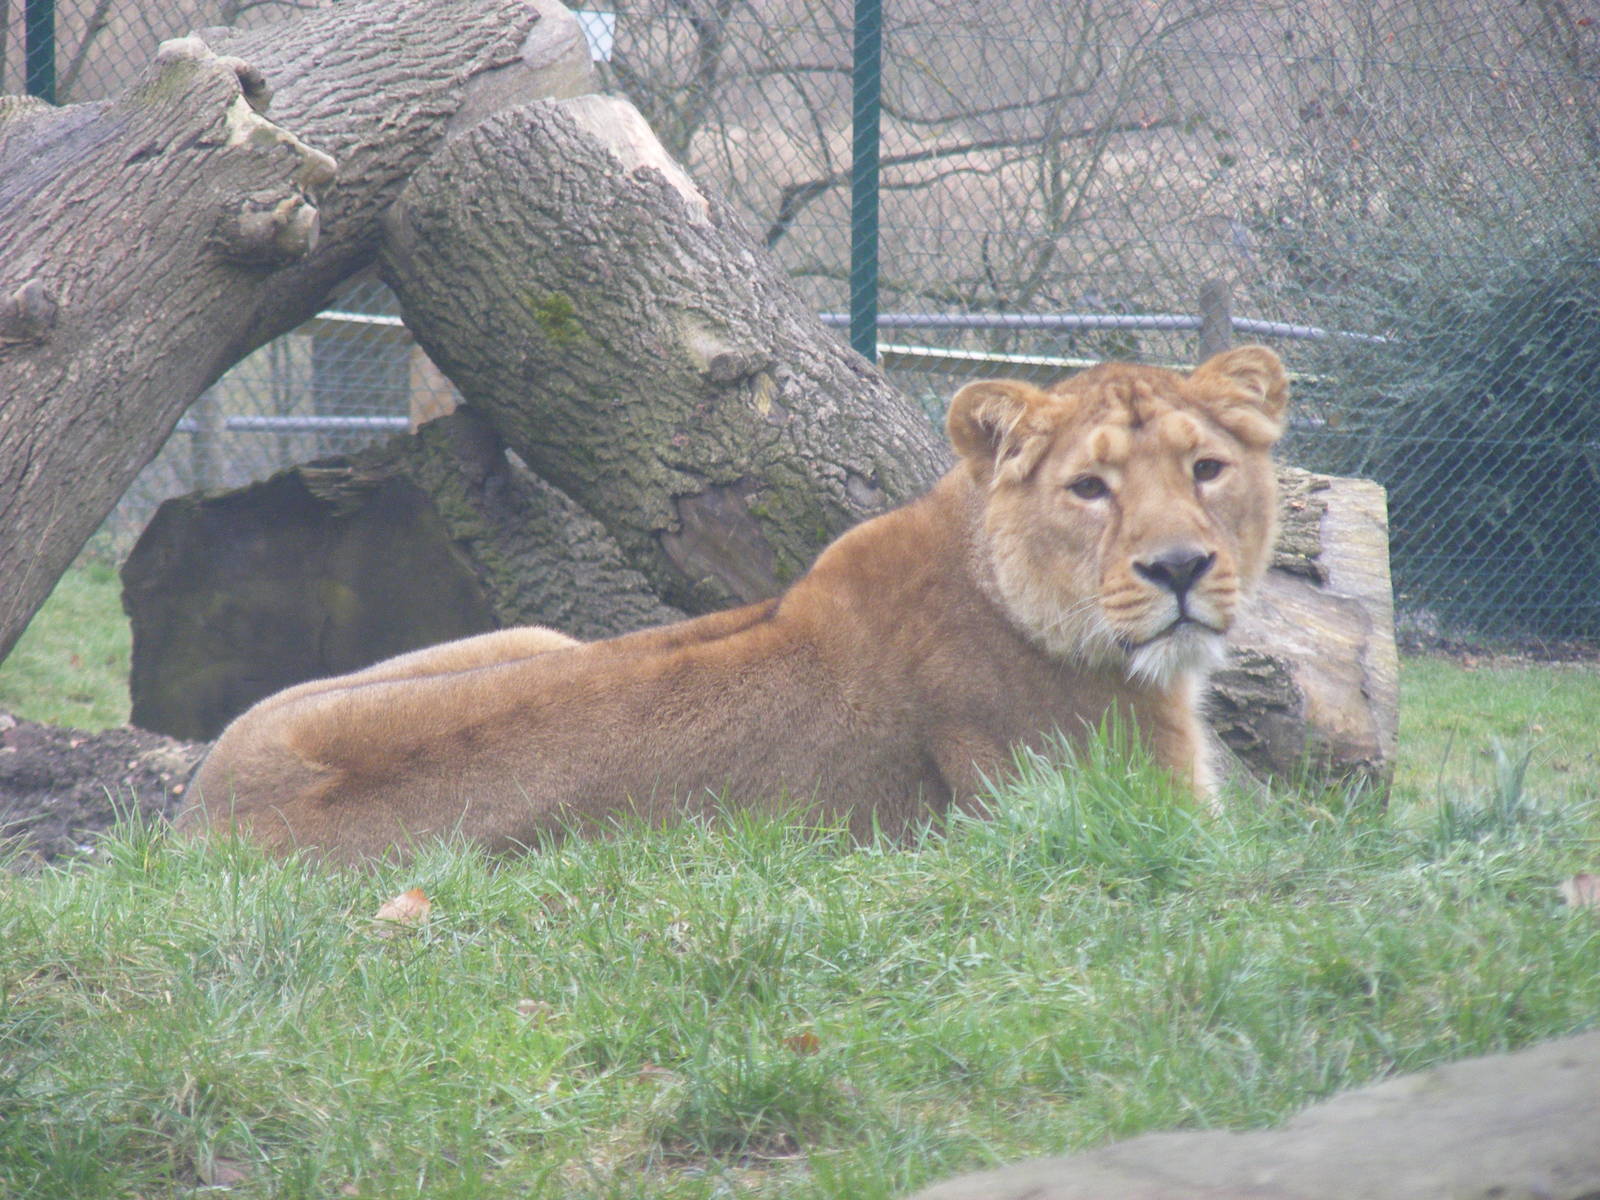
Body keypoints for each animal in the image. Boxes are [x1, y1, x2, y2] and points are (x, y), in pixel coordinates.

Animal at [177, 345, 1288, 862]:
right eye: (1089, 489)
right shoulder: (1134, 816)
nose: (1180, 567)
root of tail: (185, 824)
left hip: (531, 632)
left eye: (1206, 468)